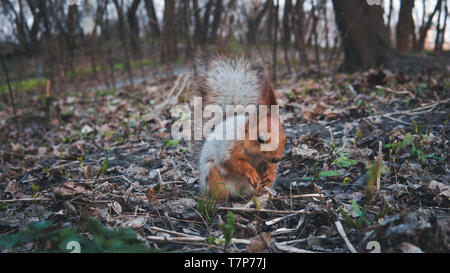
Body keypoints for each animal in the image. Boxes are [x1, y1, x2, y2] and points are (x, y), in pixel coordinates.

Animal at [197, 56, 284, 200]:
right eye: (260, 139)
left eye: (284, 138)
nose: (277, 158)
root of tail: (239, 191)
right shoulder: (228, 148)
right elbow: (233, 163)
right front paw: (250, 172)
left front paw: (271, 171)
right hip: (213, 177)